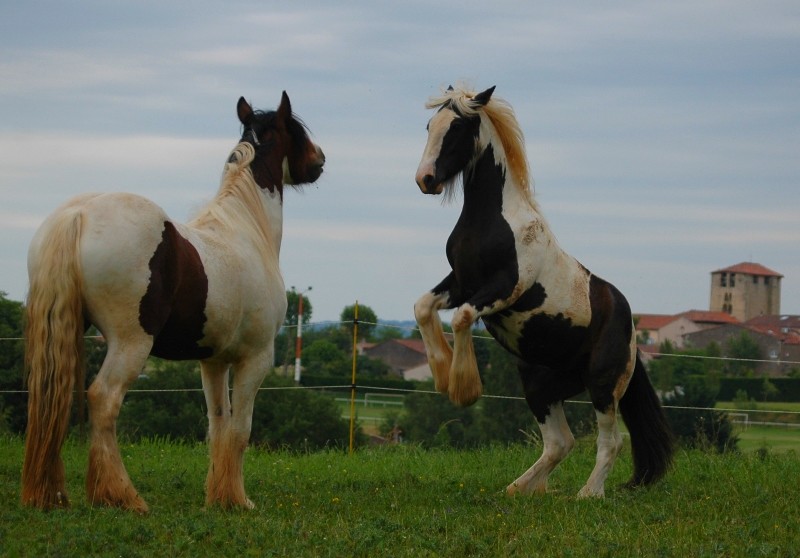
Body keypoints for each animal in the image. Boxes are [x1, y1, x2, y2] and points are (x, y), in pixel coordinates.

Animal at [23, 93, 326, 516]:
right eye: (296, 130)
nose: (319, 161)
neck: (245, 231)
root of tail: (79, 214)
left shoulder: (213, 362)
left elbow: (219, 424)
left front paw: (219, 497)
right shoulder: (255, 359)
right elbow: (241, 429)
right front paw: (239, 500)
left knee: (52, 397)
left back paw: (50, 494)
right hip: (131, 343)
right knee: (103, 399)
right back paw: (122, 496)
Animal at [416, 86, 672, 498]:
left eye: (456, 129)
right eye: (429, 125)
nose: (426, 179)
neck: (493, 221)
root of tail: (631, 328)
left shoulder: (505, 288)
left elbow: (462, 316)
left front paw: (464, 387)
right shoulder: (461, 282)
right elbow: (424, 306)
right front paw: (442, 374)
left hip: (603, 385)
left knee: (611, 442)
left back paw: (588, 494)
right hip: (541, 386)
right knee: (559, 442)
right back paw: (519, 489)